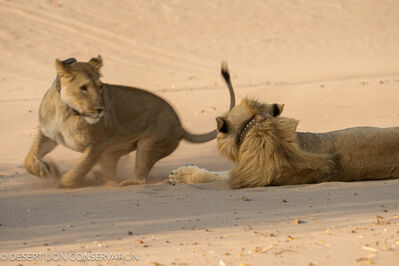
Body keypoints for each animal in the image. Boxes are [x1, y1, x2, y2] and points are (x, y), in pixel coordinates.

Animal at [24, 55, 234, 188]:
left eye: (100, 87)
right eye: (84, 88)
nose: (100, 109)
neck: (67, 110)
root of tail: (181, 127)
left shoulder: (98, 144)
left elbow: (82, 166)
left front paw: (65, 180)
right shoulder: (48, 134)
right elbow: (30, 158)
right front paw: (45, 170)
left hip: (148, 145)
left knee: (140, 177)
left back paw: (122, 181)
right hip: (114, 151)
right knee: (111, 167)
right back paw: (102, 177)